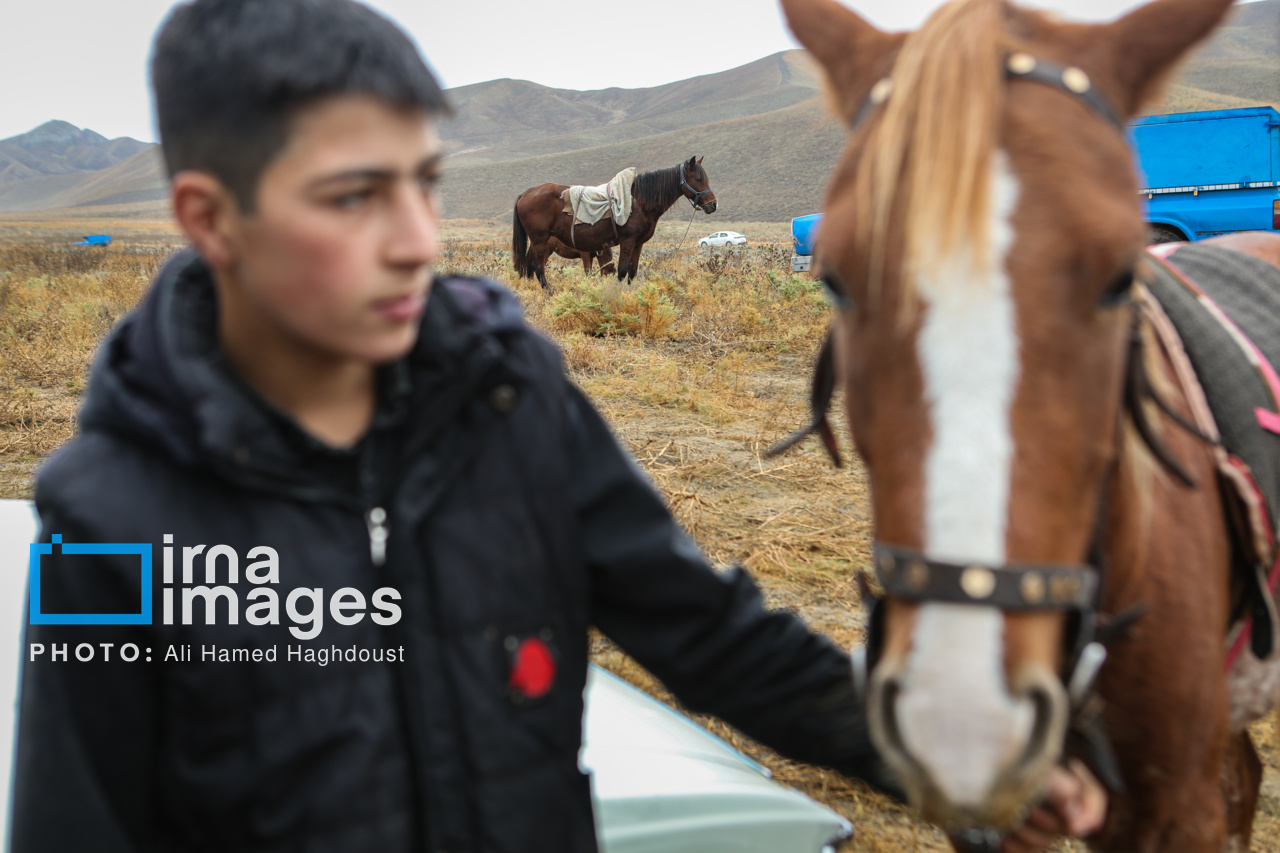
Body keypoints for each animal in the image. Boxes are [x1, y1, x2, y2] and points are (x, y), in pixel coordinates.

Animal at [512, 158, 716, 289]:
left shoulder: (638, 244)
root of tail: (525, 194)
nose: (713, 204)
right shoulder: (627, 241)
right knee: (537, 267)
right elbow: (622, 270)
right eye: (698, 179)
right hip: (539, 240)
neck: (639, 201)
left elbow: (632, 271)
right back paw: (549, 292)